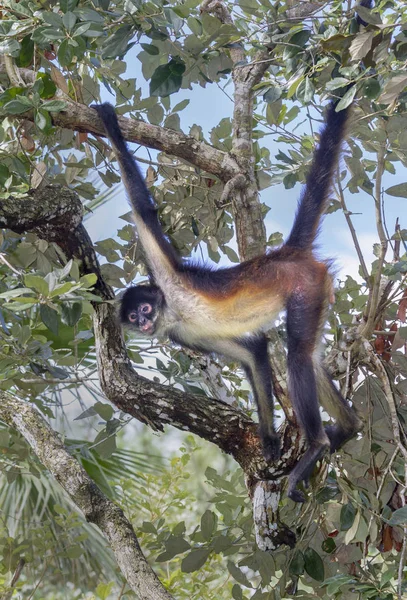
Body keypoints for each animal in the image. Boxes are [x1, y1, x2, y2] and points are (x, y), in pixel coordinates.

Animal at [93, 97, 364, 502]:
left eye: (144, 308)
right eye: (135, 318)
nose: (144, 322)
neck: (173, 312)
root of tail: (285, 255)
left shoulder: (169, 279)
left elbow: (143, 210)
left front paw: (109, 121)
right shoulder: (183, 335)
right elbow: (254, 352)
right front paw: (268, 441)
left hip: (306, 287)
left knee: (298, 355)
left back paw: (316, 445)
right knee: (311, 357)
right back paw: (346, 428)